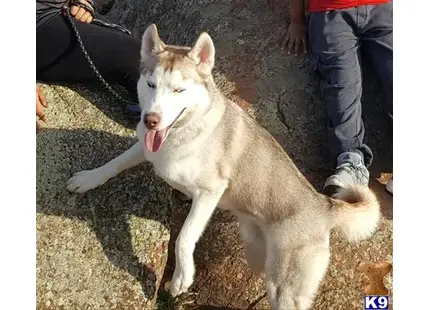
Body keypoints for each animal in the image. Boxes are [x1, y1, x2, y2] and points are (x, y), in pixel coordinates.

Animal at [66, 24, 380, 310]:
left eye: (179, 89)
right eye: (151, 84)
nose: (150, 120)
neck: (185, 131)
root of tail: (324, 205)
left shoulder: (209, 193)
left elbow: (184, 238)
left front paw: (181, 277)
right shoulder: (147, 147)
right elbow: (115, 163)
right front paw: (88, 179)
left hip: (284, 288)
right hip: (257, 256)